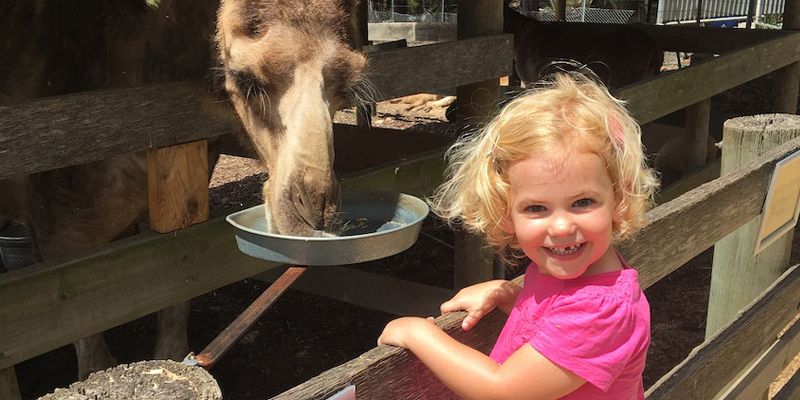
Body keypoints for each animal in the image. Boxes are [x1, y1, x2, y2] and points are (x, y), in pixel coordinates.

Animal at [0, 0, 368, 382]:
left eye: (349, 86)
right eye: (244, 77)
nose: (314, 214)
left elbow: (176, 301)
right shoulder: (60, 242)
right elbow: (92, 357)